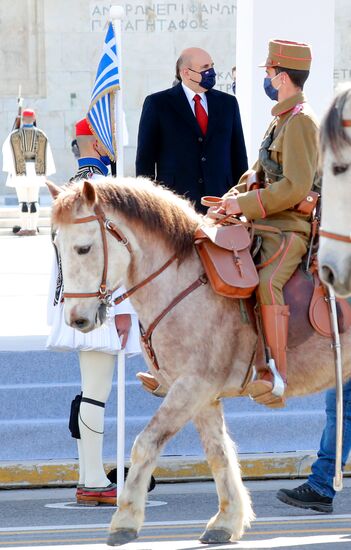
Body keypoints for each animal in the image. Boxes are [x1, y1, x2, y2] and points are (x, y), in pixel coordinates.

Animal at [47, 180, 351, 548]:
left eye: (84, 248)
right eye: (57, 247)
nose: (76, 319)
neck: (181, 282)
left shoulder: (192, 386)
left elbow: (145, 443)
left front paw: (124, 520)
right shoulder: (202, 395)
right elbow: (219, 453)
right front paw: (227, 521)